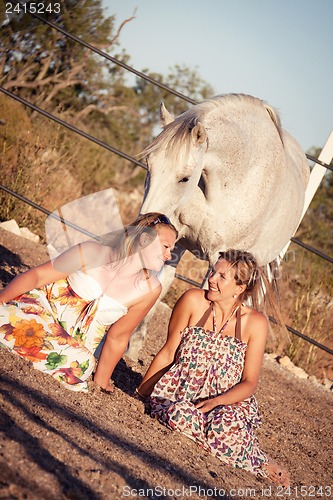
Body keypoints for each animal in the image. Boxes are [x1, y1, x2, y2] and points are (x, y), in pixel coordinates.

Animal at [126, 94, 308, 360]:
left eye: (184, 178)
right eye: (149, 165)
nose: (144, 224)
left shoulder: (220, 259)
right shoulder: (176, 240)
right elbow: (162, 283)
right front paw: (133, 348)